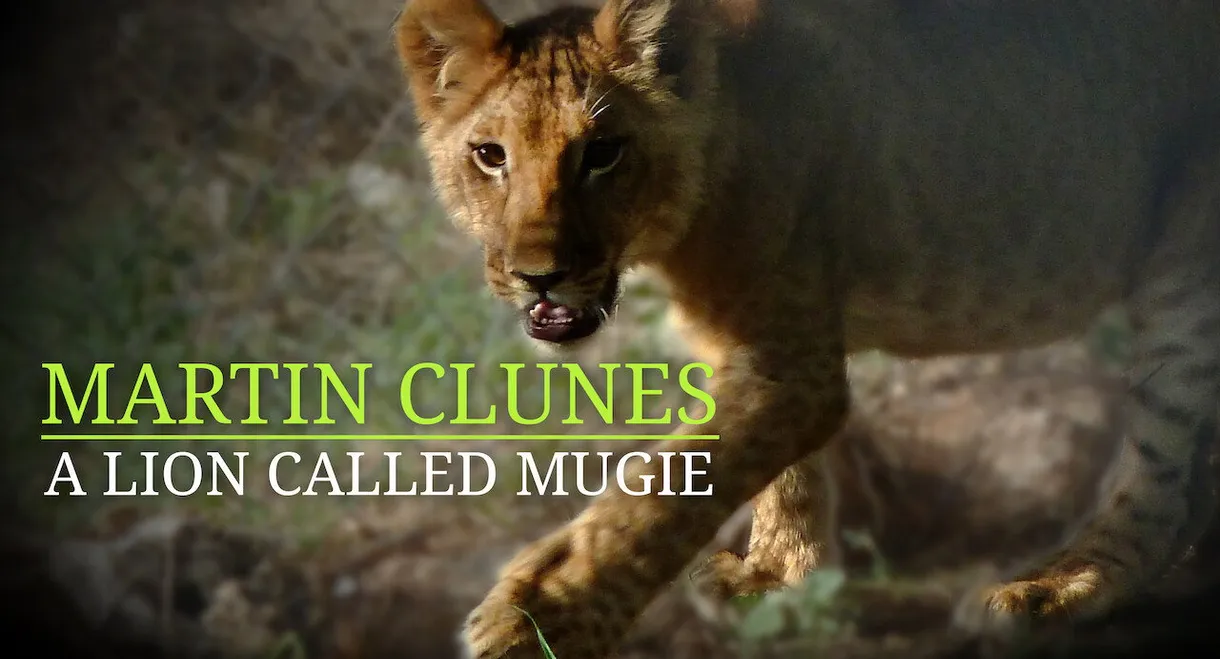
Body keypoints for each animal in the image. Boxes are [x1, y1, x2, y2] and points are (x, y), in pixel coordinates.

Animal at [392, 1, 1220, 657]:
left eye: (602, 152)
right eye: (490, 155)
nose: (539, 274)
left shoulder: (789, 362)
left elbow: (660, 496)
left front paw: (535, 620)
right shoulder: (754, 348)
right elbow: (777, 475)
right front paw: (777, 575)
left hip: (1189, 268)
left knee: (1168, 475)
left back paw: (1058, 588)